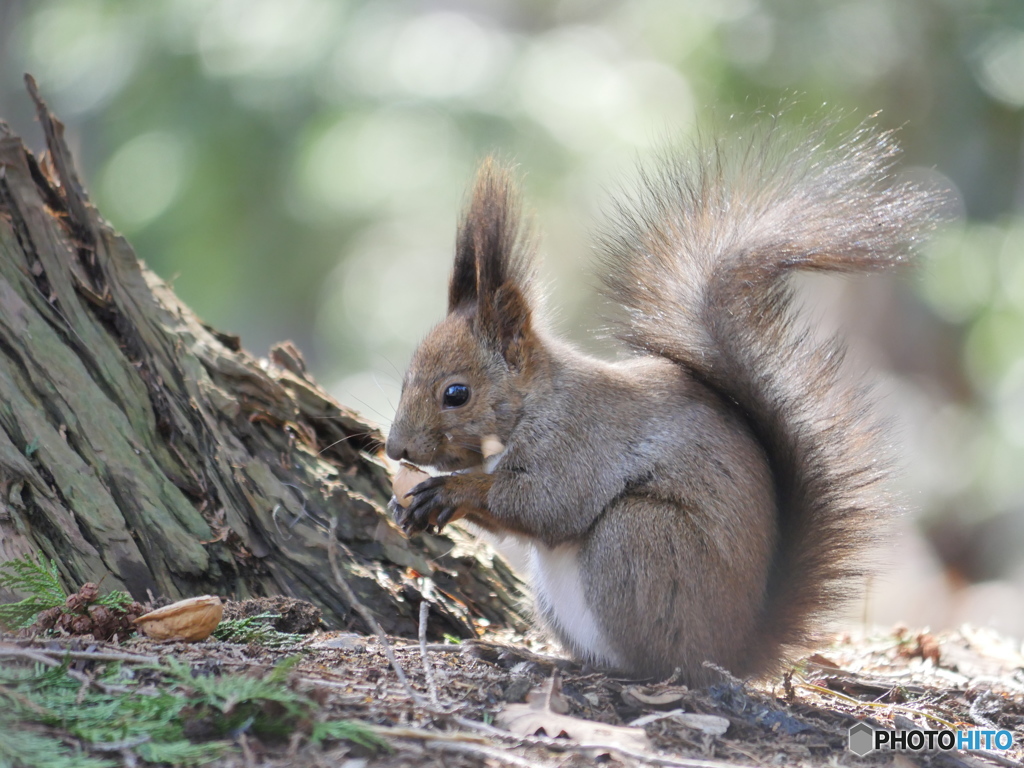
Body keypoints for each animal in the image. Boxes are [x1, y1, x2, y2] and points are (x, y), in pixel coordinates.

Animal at [385, 120, 942, 684]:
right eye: (405, 377)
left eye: (456, 394)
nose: (395, 449)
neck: (537, 402)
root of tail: (732, 651)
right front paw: (404, 504)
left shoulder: (580, 441)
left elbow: (547, 503)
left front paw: (453, 490)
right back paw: (537, 655)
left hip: (639, 542)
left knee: (651, 665)